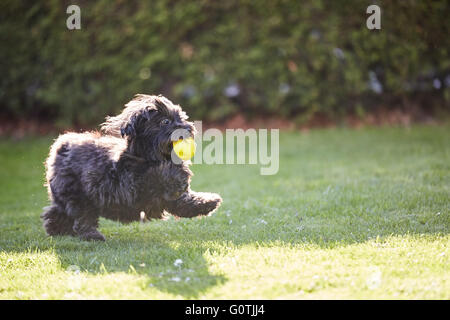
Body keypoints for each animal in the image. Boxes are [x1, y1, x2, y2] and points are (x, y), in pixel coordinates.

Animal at [42, 94, 221, 240]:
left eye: (182, 117)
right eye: (165, 121)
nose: (188, 128)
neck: (151, 156)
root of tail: (62, 145)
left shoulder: (170, 198)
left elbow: (185, 202)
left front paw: (209, 201)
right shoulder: (130, 188)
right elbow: (156, 176)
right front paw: (176, 173)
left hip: (66, 195)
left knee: (57, 212)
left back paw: (58, 230)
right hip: (80, 195)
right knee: (83, 217)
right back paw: (91, 235)